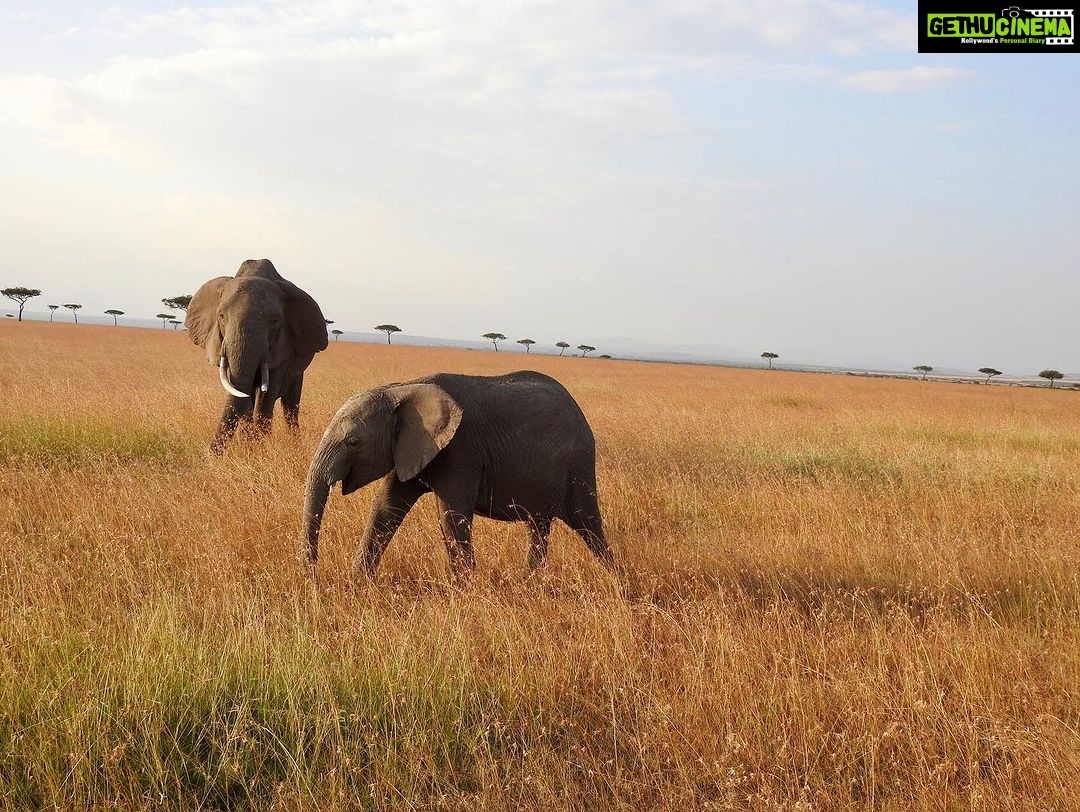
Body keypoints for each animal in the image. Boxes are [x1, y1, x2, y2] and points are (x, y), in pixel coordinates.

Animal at [186, 259, 328, 452]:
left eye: (275, 320)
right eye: (221, 316)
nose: (209, 456)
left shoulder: (283, 349)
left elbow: (267, 395)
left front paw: (260, 449)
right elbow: (242, 394)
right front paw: (250, 447)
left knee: (290, 406)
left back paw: (294, 442)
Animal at [300, 371, 613, 578]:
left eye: (353, 442)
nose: (312, 575)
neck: (402, 389)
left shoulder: (460, 452)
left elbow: (451, 515)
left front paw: (466, 589)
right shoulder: (411, 448)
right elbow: (385, 508)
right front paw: (357, 583)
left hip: (578, 464)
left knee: (588, 524)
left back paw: (614, 578)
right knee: (539, 525)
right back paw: (531, 582)